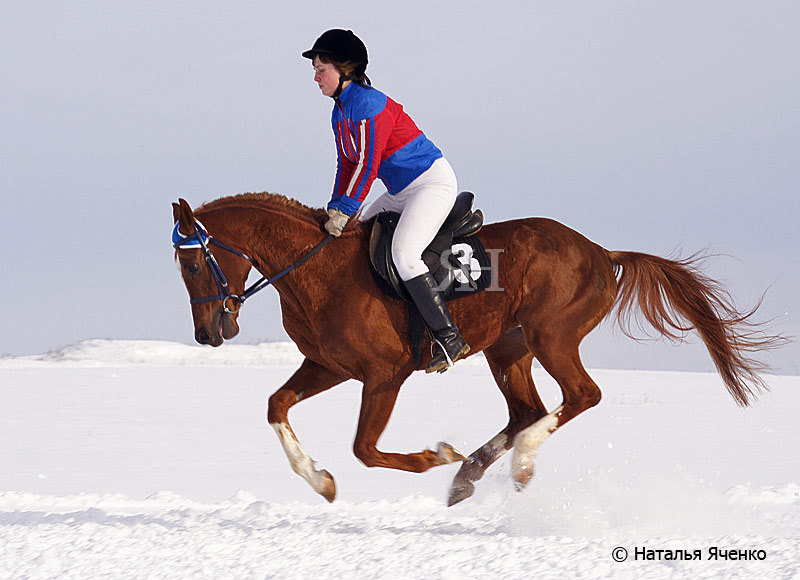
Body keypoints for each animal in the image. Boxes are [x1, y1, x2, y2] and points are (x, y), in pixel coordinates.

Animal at [172, 193, 784, 506]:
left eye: (193, 263)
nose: (208, 334)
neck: (316, 270)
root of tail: (599, 251)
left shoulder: (383, 375)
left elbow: (365, 448)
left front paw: (431, 457)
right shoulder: (328, 365)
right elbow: (276, 406)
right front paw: (319, 480)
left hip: (551, 336)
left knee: (578, 397)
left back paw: (516, 463)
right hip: (508, 348)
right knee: (527, 410)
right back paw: (471, 474)